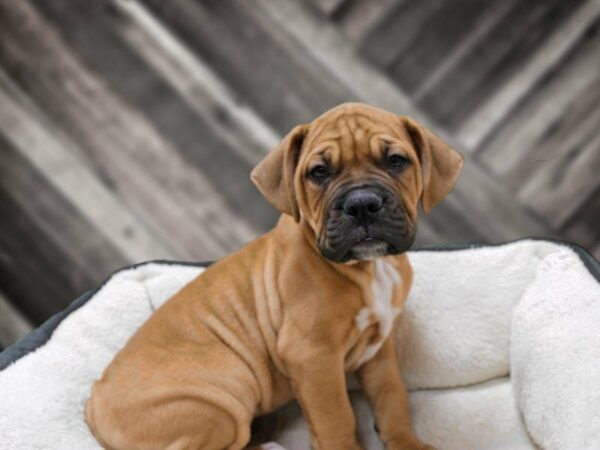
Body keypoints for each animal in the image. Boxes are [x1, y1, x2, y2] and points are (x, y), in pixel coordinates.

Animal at [84, 103, 462, 450]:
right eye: (319, 172)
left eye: (396, 161)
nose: (362, 204)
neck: (367, 268)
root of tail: (92, 403)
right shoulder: (312, 356)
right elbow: (337, 418)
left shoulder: (379, 348)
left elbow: (391, 398)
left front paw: (407, 443)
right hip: (224, 402)